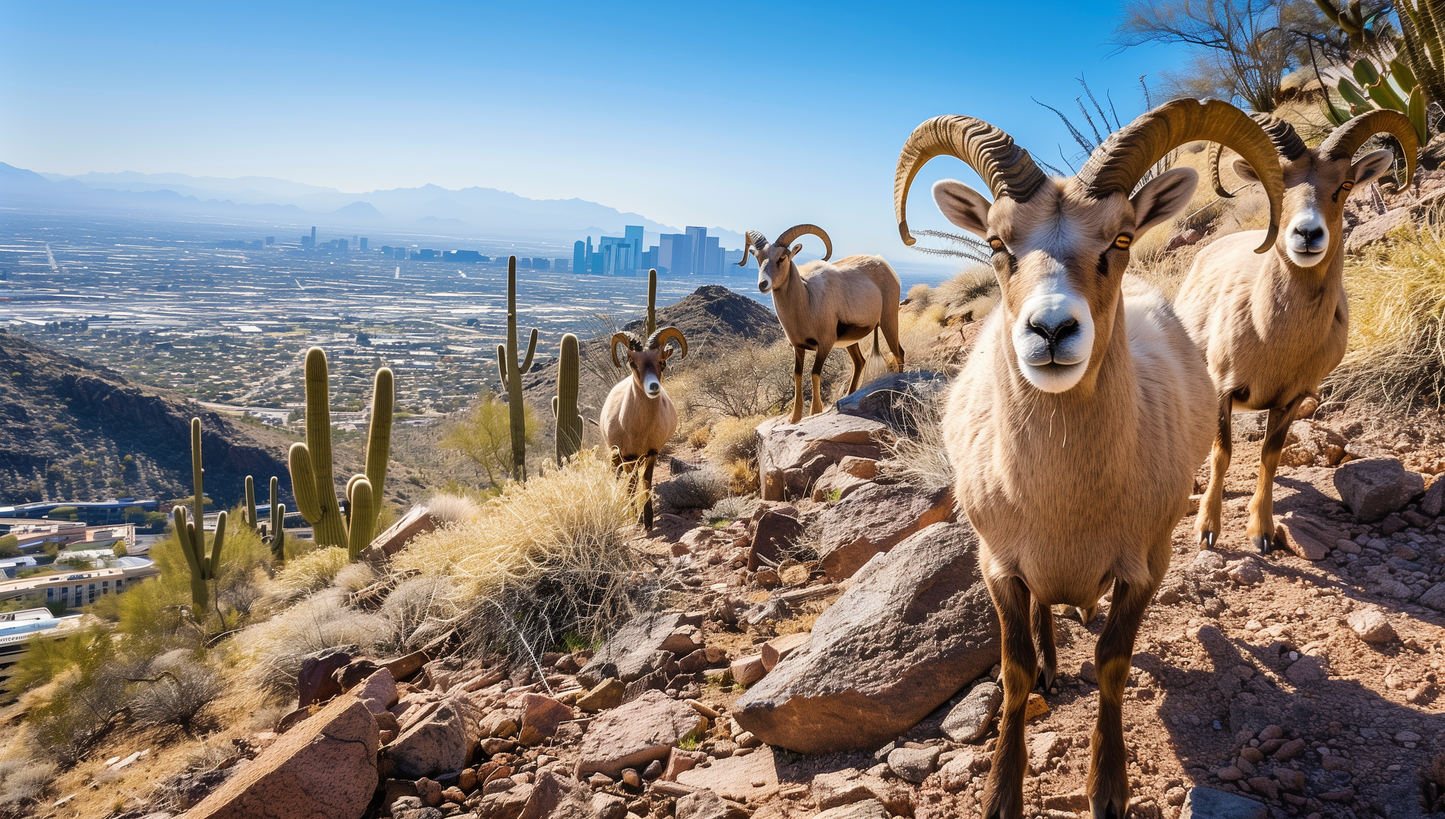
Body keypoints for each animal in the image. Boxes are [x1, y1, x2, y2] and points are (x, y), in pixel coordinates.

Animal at [598, 326, 687, 531]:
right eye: (632, 362)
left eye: (661, 361)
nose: (653, 387)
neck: (637, 430)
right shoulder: (626, 456)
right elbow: (631, 486)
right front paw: (635, 517)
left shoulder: (651, 453)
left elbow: (646, 482)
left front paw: (648, 520)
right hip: (618, 456)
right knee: (622, 478)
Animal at [739, 228, 895, 427]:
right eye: (758, 258)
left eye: (782, 257)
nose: (763, 284)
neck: (808, 298)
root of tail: (883, 263)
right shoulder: (798, 348)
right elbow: (798, 375)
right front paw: (795, 418)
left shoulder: (824, 346)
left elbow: (814, 374)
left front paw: (814, 412)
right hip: (851, 342)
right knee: (860, 362)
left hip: (889, 322)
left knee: (899, 353)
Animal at [890, 101, 1288, 819]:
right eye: (998, 245)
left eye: (1120, 240)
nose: (1051, 330)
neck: (1065, 502)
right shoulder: (999, 567)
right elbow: (1015, 670)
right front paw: (1002, 793)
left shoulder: (1145, 567)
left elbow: (1112, 664)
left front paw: (1108, 790)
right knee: (1045, 614)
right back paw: (1055, 654)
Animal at [1173, 109, 1421, 554]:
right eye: (1276, 185)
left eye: (1344, 185)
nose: (1307, 234)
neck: (1274, 339)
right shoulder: (1222, 390)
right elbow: (1223, 454)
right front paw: (1207, 532)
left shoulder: (1290, 400)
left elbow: (1269, 457)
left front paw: (1262, 534)